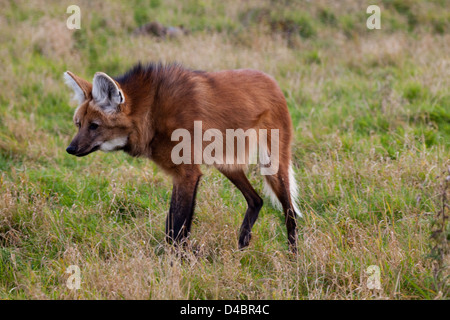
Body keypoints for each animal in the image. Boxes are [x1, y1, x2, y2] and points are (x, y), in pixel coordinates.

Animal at [63, 62, 300, 251]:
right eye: (78, 124)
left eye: (94, 126)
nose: (70, 149)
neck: (151, 113)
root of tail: (272, 81)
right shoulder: (182, 173)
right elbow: (175, 226)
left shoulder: (187, 172)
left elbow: (175, 228)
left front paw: (175, 264)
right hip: (225, 163)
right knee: (256, 200)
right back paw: (242, 246)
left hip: (272, 165)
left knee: (290, 213)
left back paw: (294, 258)